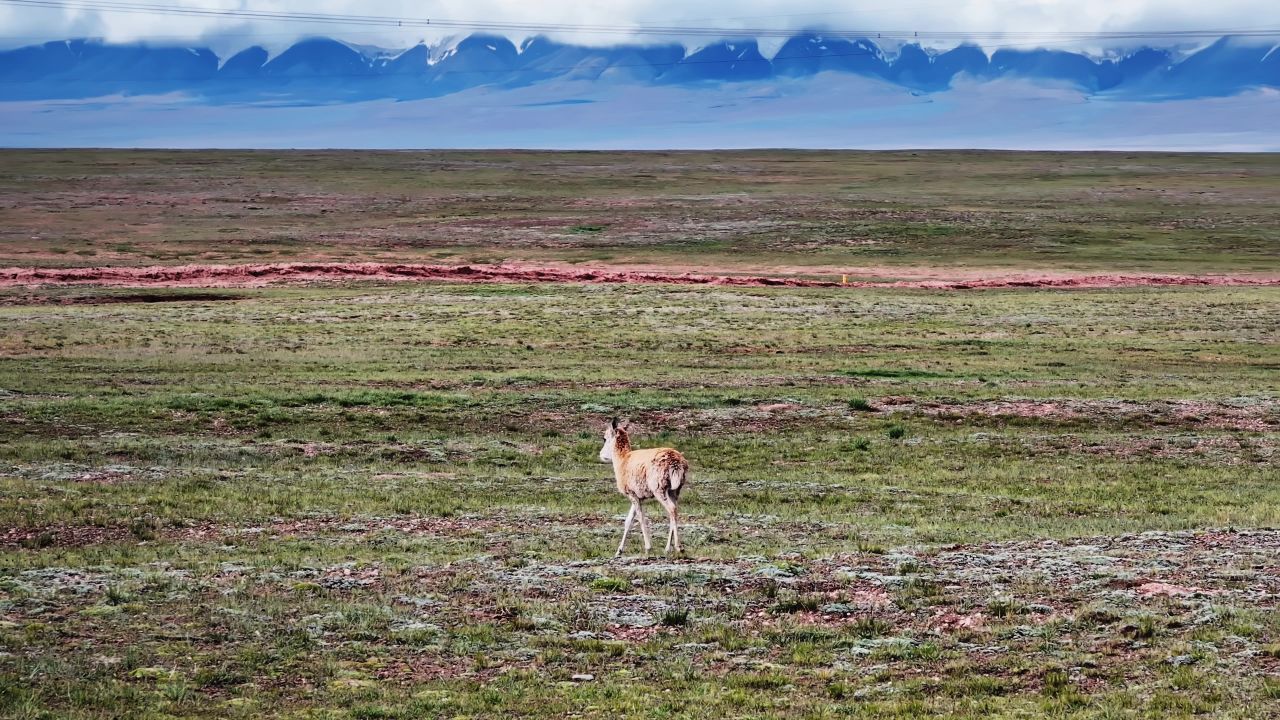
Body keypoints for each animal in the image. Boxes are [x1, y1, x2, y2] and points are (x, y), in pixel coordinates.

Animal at [599, 415, 691, 556]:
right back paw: (667, 548)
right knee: (674, 510)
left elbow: (641, 518)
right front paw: (619, 551)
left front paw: (648, 547)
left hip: (659, 489)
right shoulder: (638, 496)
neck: (623, 459)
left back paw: (678, 547)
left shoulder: (632, 494)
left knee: (671, 509)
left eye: (604, 438)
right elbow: (628, 520)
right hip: (675, 490)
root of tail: (676, 462)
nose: (601, 455)